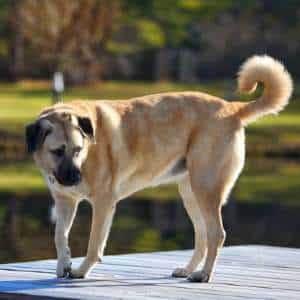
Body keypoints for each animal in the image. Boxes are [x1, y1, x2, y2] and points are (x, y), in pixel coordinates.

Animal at [25, 55, 292, 282]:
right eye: (58, 151)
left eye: (78, 149)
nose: (75, 177)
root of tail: (231, 108)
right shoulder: (64, 201)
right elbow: (60, 236)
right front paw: (63, 265)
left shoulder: (103, 202)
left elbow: (94, 244)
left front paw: (80, 271)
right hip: (191, 193)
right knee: (203, 236)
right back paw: (188, 270)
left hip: (205, 188)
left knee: (217, 234)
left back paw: (203, 275)